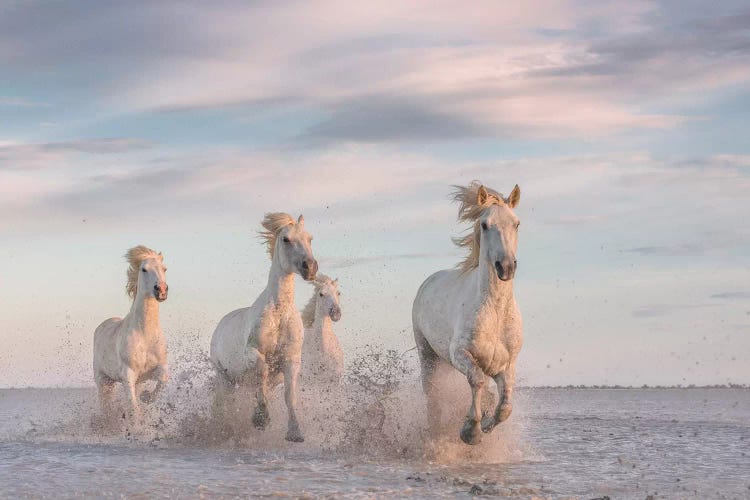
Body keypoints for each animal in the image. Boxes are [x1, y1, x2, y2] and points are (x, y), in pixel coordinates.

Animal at [93, 246, 170, 422]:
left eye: (164, 269)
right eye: (144, 269)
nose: (161, 290)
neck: (145, 334)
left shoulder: (157, 367)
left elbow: (163, 380)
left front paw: (146, 397)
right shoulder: (128, 375)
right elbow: (133, 409)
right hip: (103, 380)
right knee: (105, 403)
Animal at [210, 211, 318, 442]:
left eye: (310, 238)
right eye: (286, 239)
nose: (310, 267)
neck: (279, 314)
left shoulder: (291, 360)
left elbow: (289, 395)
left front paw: (295, 432)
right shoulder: (252, 352)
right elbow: (262, 370)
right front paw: (261, 419)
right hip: (225, 378)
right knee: (224, 402)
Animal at [412, 181, 524, 446]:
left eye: (516, 223)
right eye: (485, 225)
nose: (506, 267)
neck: (495, 313)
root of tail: (428, 281)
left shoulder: (506, 366)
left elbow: (505, 406)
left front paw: (486, 424)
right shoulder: (461, 354)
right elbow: (477, 380)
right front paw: (470, 431)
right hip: (428, 355)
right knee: (432, 396)